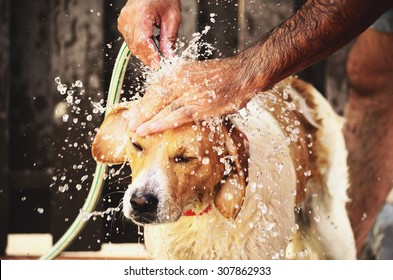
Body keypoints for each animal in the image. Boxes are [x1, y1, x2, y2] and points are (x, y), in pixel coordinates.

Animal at [92, 76, 356, 260]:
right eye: (136, 145)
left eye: (185, 158)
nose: (140, 203)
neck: (199, 214)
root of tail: (299, 84)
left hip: (332, 235)